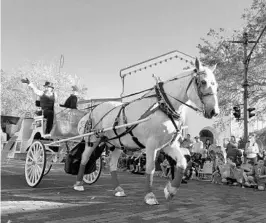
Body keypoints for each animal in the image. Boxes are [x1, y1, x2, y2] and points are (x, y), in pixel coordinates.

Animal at [74, 58, 218, 206]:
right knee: (84, 158)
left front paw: (170, 190)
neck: (163, 105)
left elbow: (182, 163)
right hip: (92, 139)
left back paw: (118, 189)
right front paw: (150, 195)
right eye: (203, 82)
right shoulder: (152, 144)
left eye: (216, 85)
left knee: (113, 164)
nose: (214, 112)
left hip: (118, 144)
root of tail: (94, 109)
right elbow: (150, 168)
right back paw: (79, 184)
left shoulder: (168, 145)